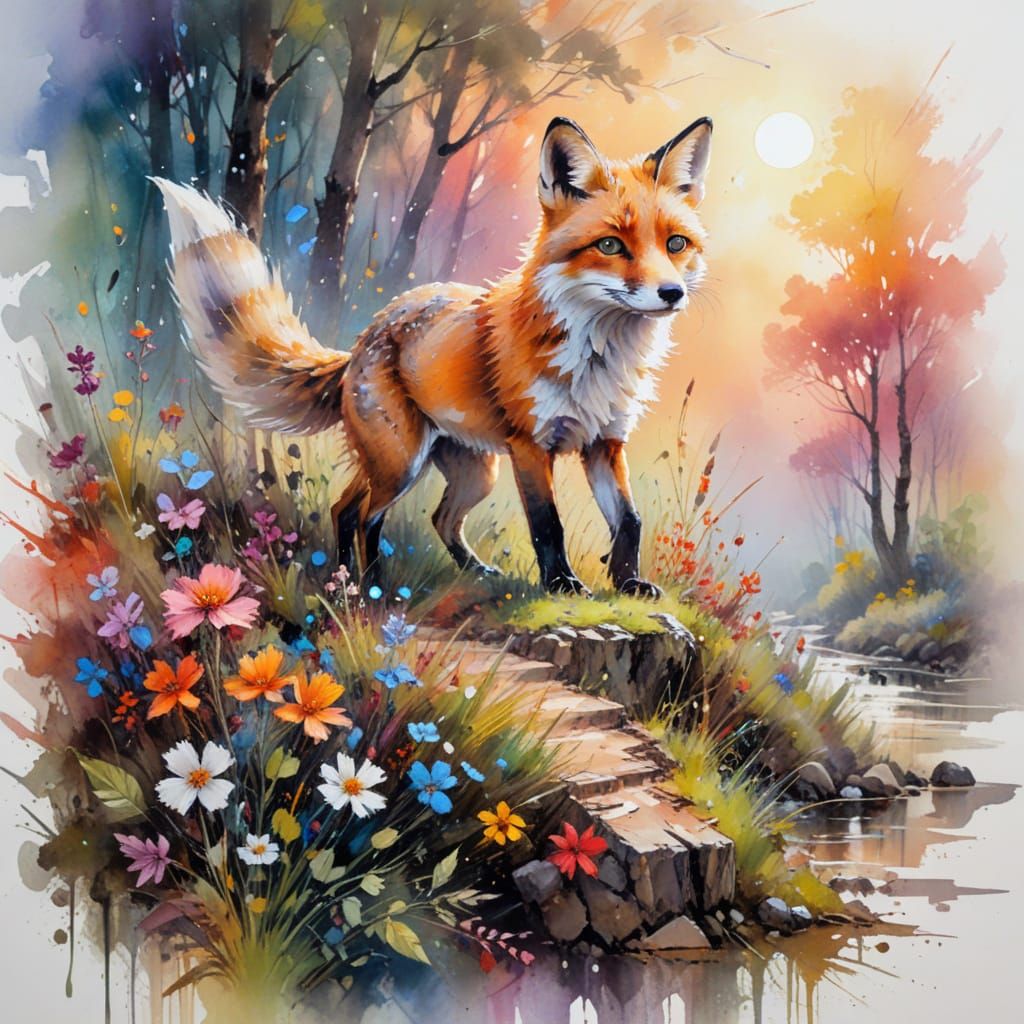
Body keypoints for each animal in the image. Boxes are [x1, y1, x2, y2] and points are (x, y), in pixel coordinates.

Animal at [153, 114, 712, 597]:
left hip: (468, 472)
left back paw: (388, 578)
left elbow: (629, 521)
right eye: (611, 245)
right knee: (365, 516)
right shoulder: (531, 446)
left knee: (395, 513)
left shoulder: (604, 441)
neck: (597, 358)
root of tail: (366, 336)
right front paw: (562, 585)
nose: (671, 293)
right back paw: (370, 587)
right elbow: (547, 525)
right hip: (403, 461)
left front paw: (628, 584)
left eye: (676, 243)